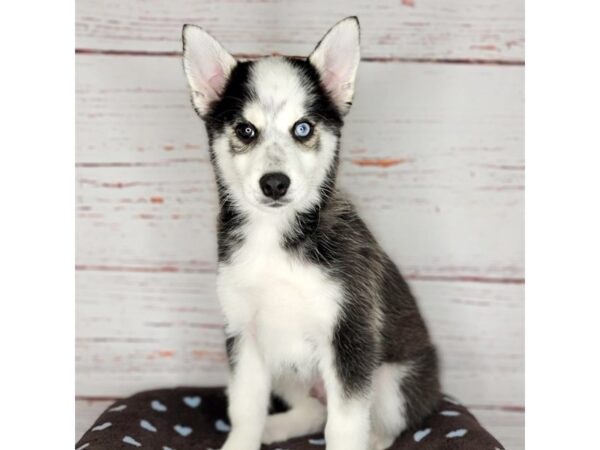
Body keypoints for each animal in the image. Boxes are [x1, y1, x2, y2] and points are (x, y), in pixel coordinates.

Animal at [180, 15, 438, 450]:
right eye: (246, 131)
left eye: (302, 129)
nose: (274, 183)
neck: (275, 237)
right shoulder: (244, 334)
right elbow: (245, 408)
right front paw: (243, 440)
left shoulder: (349, 334)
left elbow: (345, 425)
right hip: (286, 367)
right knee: (314, 410)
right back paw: (276, 427)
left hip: (392, 381)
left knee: (386, 426)